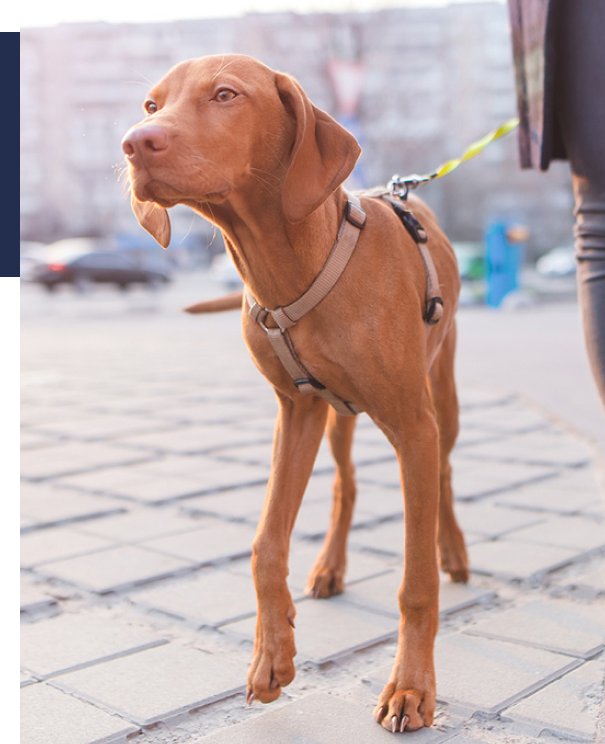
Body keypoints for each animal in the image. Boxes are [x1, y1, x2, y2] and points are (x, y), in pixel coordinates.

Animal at [121, 55, 468, 736]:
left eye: (225, 95)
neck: (292, 267)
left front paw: (412, 689)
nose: (133, 143)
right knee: (346, 485)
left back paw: (453, 550)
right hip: (338, 420)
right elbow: (265, 543)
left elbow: (415, 583)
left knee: (442, 473)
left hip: (442, 397)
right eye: (151, 105)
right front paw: (270, 656)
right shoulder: (296, 412)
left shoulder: (412, 425)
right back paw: (330, 566)